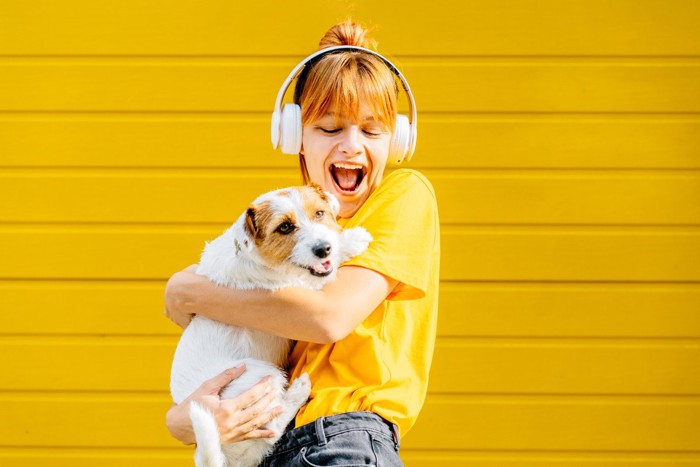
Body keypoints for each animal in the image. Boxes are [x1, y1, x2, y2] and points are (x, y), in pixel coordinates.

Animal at [169, 185, 372, 467]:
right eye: (284, 227)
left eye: (320, 213)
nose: (324, 249)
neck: (247, 254)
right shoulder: (297, 291)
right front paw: (352, 240)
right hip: (261, 374)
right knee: (273, 429)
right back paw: (298, 391)